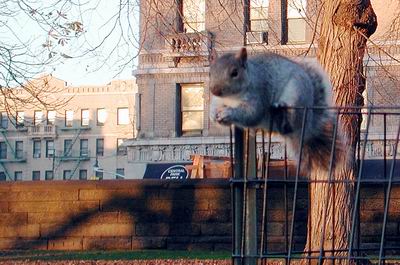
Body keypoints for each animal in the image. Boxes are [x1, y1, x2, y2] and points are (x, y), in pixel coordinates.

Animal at [209, 47, 338, 169]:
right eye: (211, 72)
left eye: (235, 73)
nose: (215, 90)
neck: (231, 98)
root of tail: (308, 125)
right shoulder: (218, 100)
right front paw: (213, 115)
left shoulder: (257, 96)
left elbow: (251, 114)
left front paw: (227, 113)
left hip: (296, 96)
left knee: (290, 122)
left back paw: (282, 109)